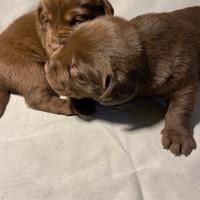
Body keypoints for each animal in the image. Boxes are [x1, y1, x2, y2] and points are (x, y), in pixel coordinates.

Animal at [45, 6, 200, 156]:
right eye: (65, 44)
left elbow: (180, 107)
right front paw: (82, 104)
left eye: (73, 69)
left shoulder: (184, 77)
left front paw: (177, 135)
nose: (46, 67)